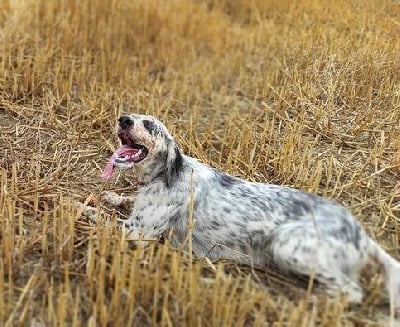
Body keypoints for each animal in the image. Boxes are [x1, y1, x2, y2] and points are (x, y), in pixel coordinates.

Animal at [81, 114, 400, 308]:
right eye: (133, 117)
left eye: (148, 125)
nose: (123, 119)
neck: (165, 174)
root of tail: (360, 233)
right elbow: (121, 201)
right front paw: (110, 196)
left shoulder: (137, 232)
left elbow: (97, 216)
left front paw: (77, 206)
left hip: (288, 245)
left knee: (352, 291)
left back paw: (312, 299)